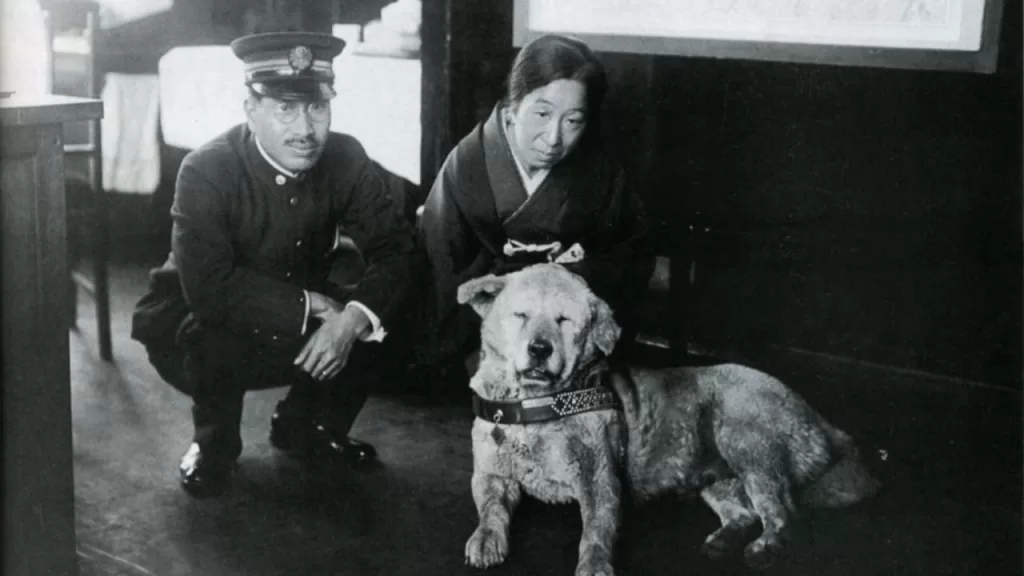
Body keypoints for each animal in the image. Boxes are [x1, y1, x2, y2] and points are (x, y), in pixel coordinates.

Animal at [456, 264, 880, 573]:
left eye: (564, 320)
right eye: (520, 314)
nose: (539, 349)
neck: (537, 406)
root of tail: (818, 418)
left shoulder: (600, 481)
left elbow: (595, 530)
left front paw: (594, 564)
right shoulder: (490, 475)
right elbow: (490, 507)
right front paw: (486, 538)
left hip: (745, 439)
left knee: (780, 510)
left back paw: (767, 546)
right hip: (719, 477)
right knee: (744, 512)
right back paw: (725, 540)